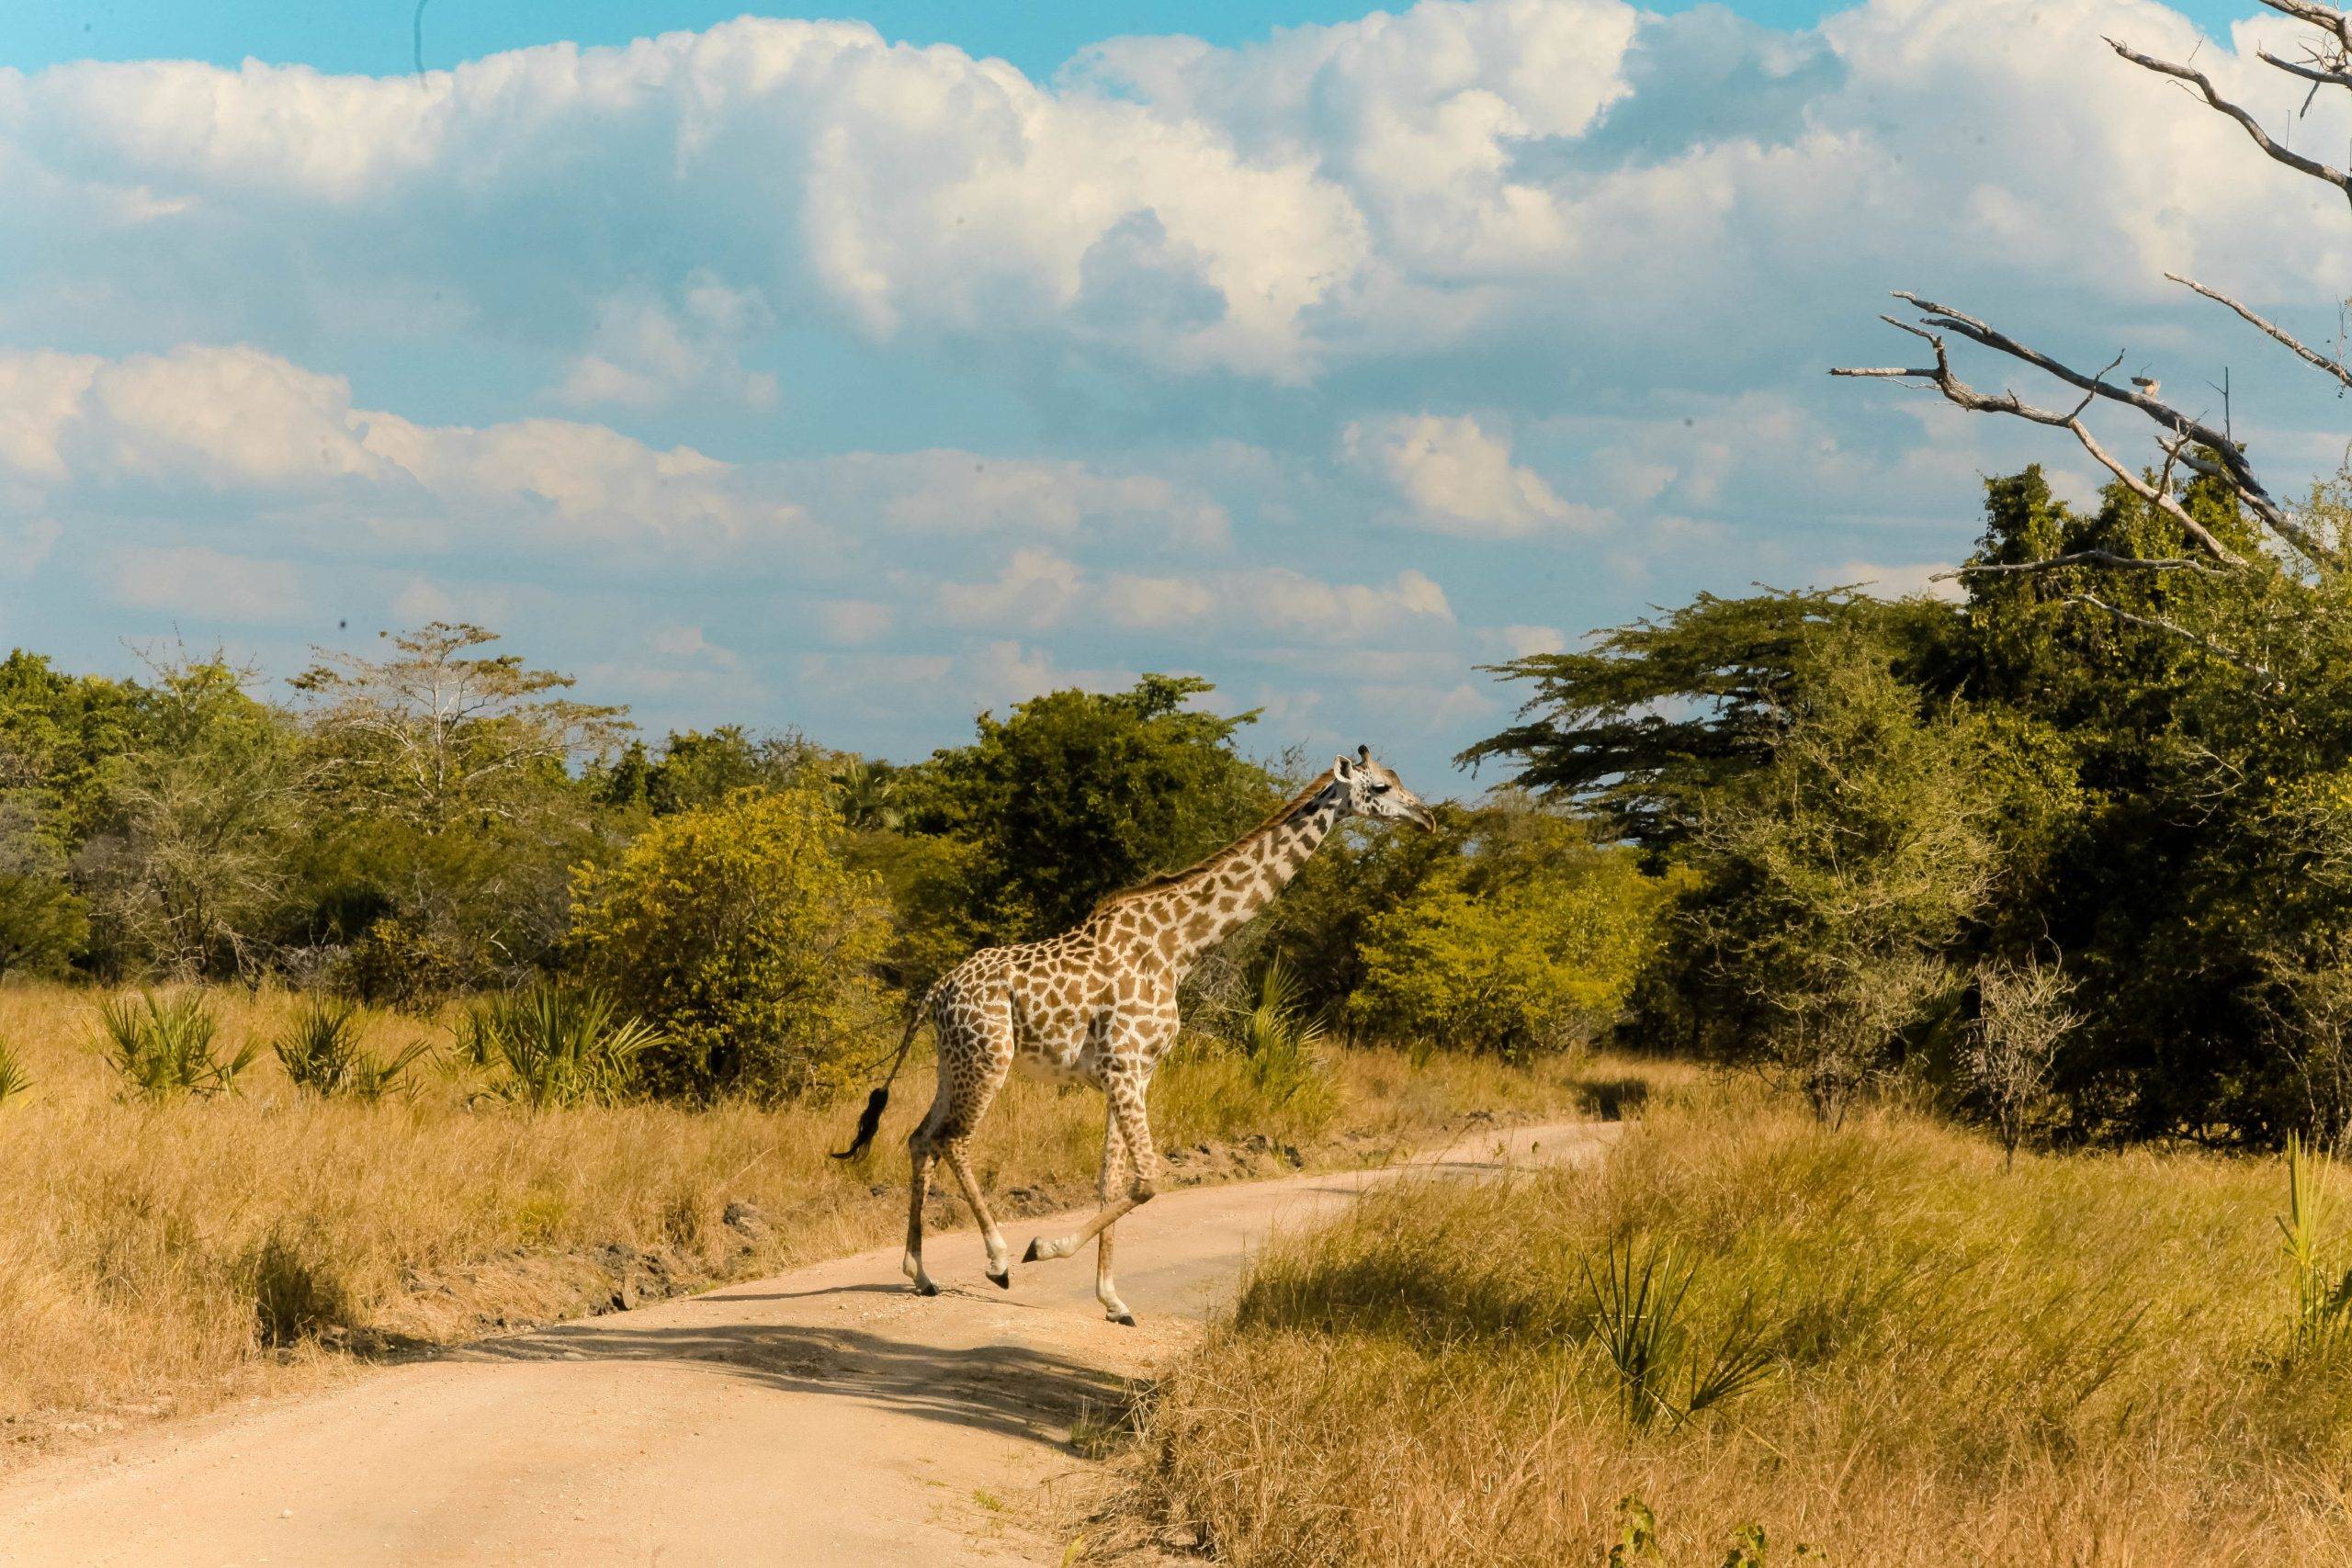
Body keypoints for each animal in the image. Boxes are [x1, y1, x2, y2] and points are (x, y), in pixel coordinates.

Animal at [846, 747, 1430, 1325]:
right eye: (1380, 787)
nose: (1427, 818)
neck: (1177, 947)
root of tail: (937, 990)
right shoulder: (1123, 1065)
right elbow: (1149, 1179)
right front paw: (1044, 1248)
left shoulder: (1133, 1073)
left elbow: (1111, 1179)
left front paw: (1112, 1299)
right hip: (991, 1056)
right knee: (953, 1138)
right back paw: (999, 1259)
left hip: (955, 1060)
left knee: (921, 1138)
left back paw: (921, 1273)